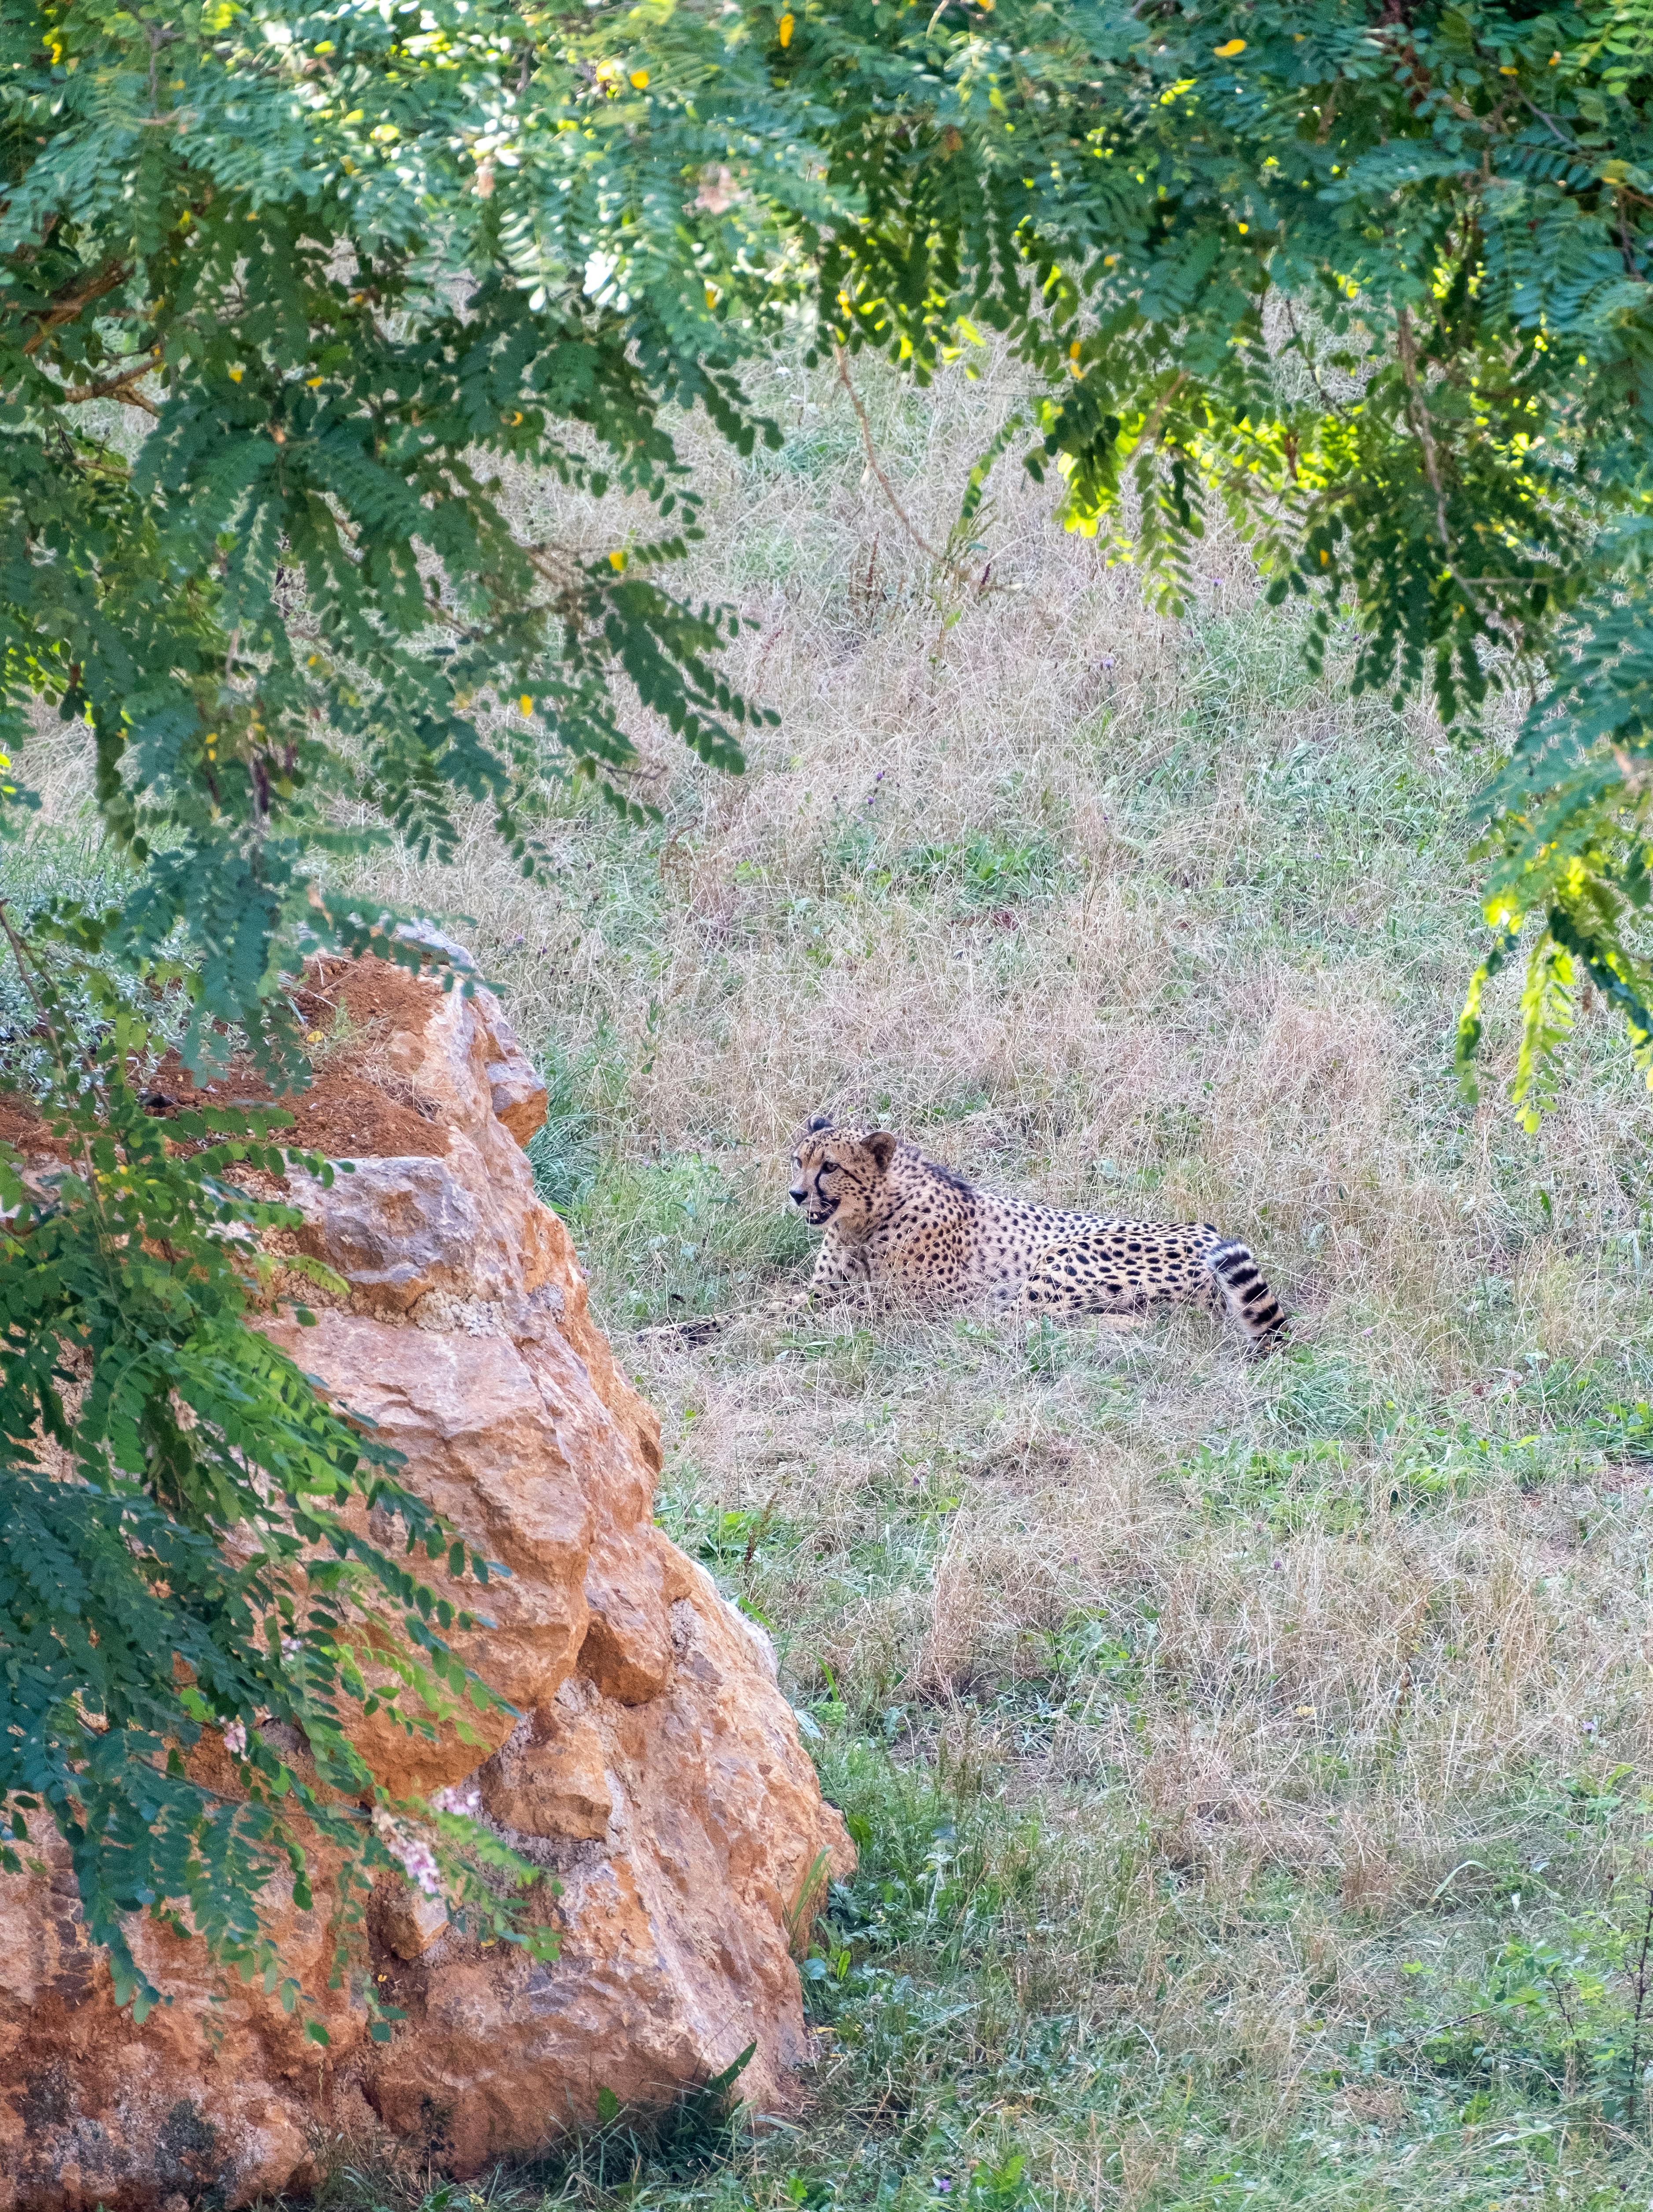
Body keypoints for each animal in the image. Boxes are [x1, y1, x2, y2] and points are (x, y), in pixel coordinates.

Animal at [792, 1123, 1292, 1344]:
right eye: (798, 1160)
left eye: (830, 1167)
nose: (796, 1194)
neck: (863, 1220)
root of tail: (1206, 1230)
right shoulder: (829, 1286)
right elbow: (804, 1300)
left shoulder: (916, 1303)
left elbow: (816, 1308)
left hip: (1063, 1256)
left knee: (1016, 1321)